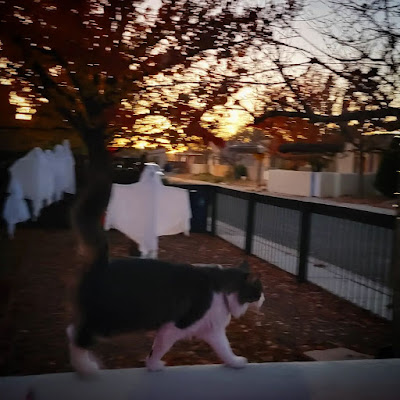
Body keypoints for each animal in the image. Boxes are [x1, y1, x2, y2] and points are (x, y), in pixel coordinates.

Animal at [67, 168, 264, 375]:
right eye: (259, 291)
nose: (264, 299)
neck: (222, 291)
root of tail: (103, 263)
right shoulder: (174, 327)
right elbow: (158, 350)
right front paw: (153, 366)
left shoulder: (213, 332)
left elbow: (225, 350)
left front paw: (235, 362)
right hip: (110, 320)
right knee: (76, 335)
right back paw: (86, 367)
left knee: (73, 330)